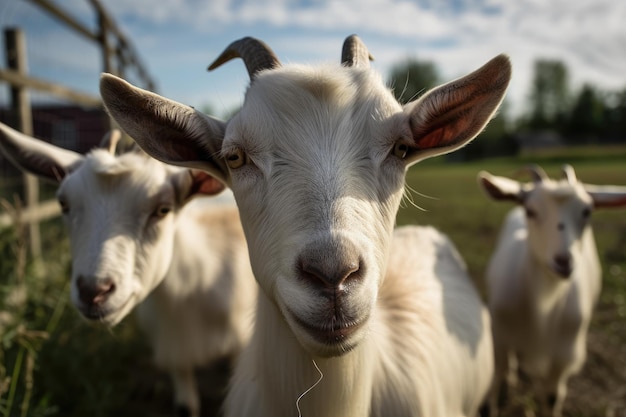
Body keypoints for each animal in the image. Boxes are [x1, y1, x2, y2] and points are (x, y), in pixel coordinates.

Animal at [476, 164, 624, 414]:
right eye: (531, 211)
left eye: (587, 211)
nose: (563, 261)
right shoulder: (498, 339)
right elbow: (490, 389)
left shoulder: (563, 354)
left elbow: (551, 397)